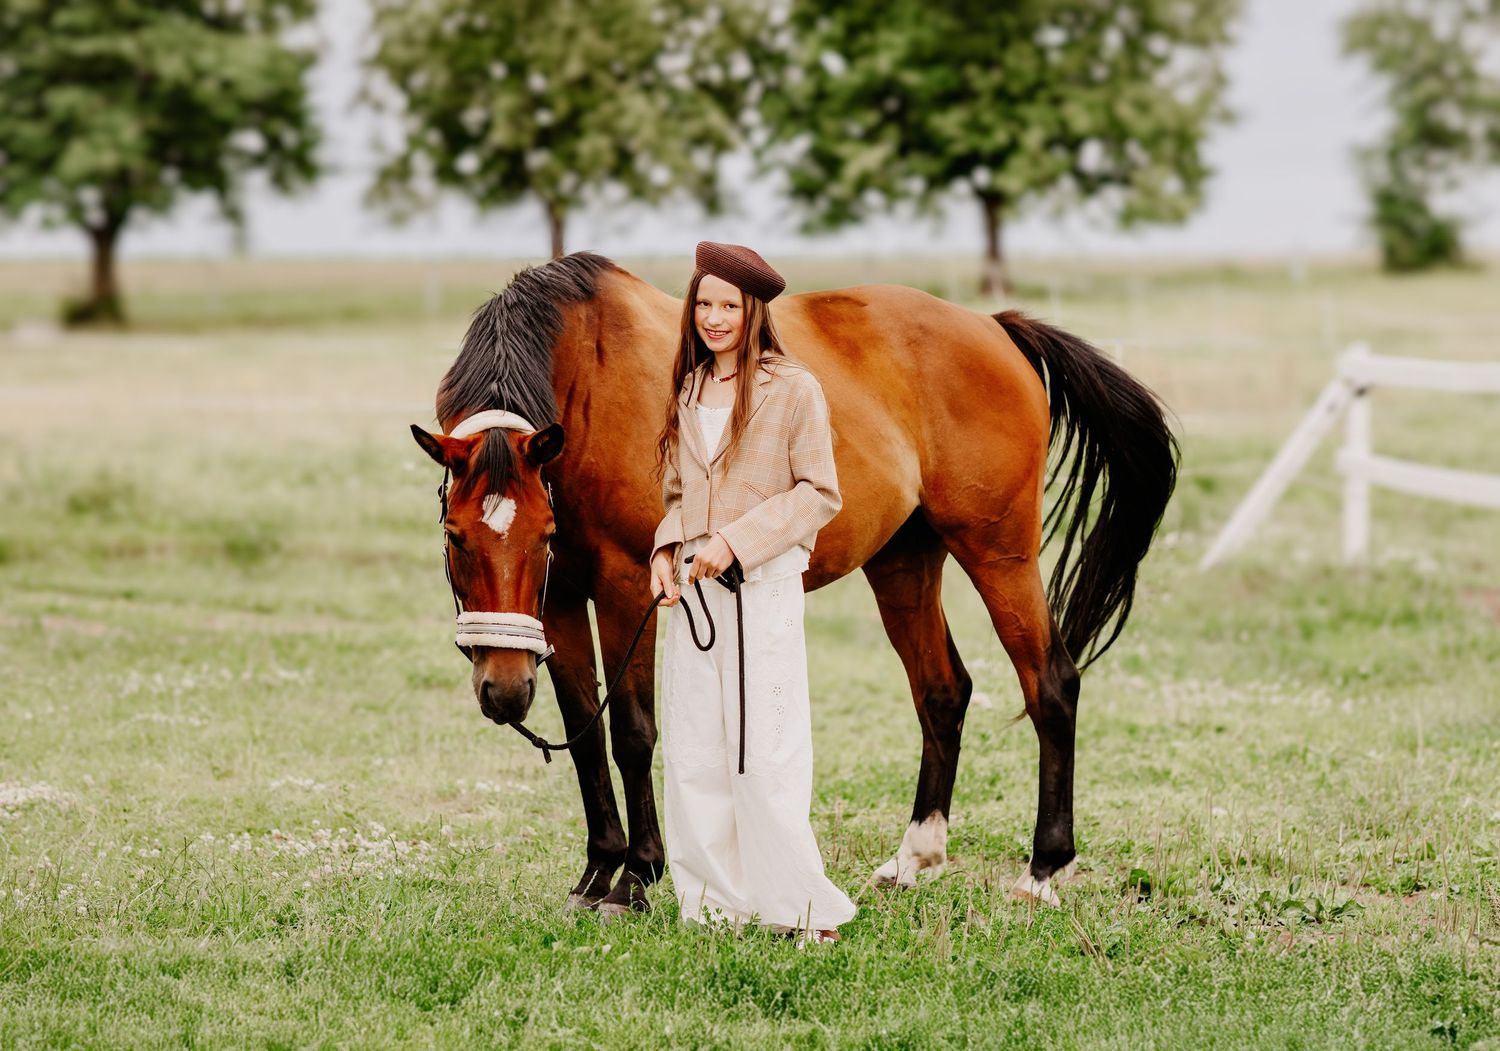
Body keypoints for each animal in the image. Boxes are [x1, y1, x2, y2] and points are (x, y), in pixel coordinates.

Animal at [410, 251, 1177, 916]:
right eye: (455, 535)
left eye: (540, 534)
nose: (504, 691)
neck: (585, 381)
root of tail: (995, 328)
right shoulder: (564, 598)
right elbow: (583, 730)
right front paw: (598, 870)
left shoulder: (630, 588)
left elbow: (630, 731)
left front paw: (637, 878)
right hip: (904, 562)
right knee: (942, 691)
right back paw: (914, 858)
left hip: (999, 554)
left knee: (1050, 684)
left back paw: (1044, 869)